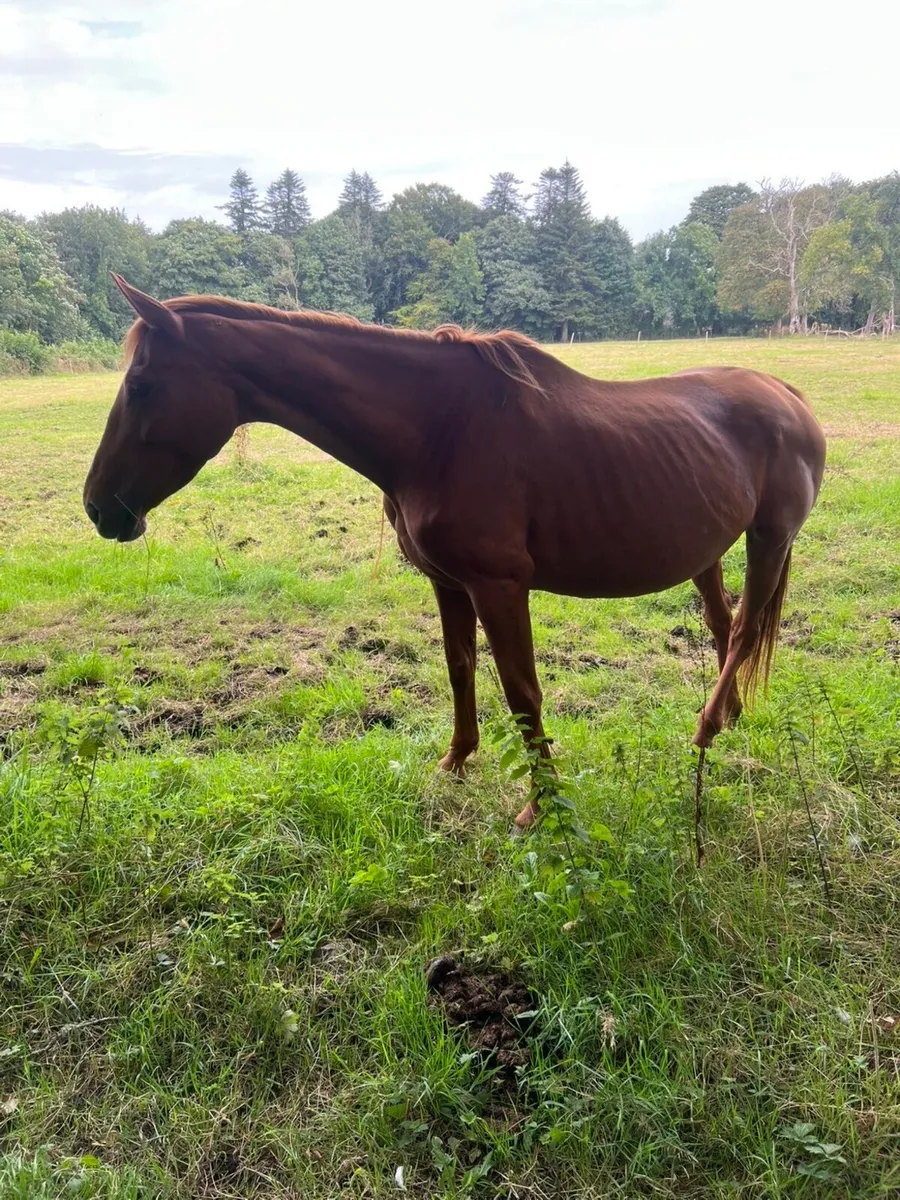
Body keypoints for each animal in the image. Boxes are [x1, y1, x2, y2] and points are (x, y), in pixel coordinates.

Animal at [84, 276, 827, 827]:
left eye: (141, 386)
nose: (97, 508)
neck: (436, 431)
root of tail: (790, 396)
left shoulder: (500, 585)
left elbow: (522, 691)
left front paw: (539, 806)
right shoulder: (447, 582)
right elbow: (459, 668)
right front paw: (456, 763)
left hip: (769, 540)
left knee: (745, 630)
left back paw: (705, 731)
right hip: (706, 551)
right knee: (724, 625)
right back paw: (725, 719)